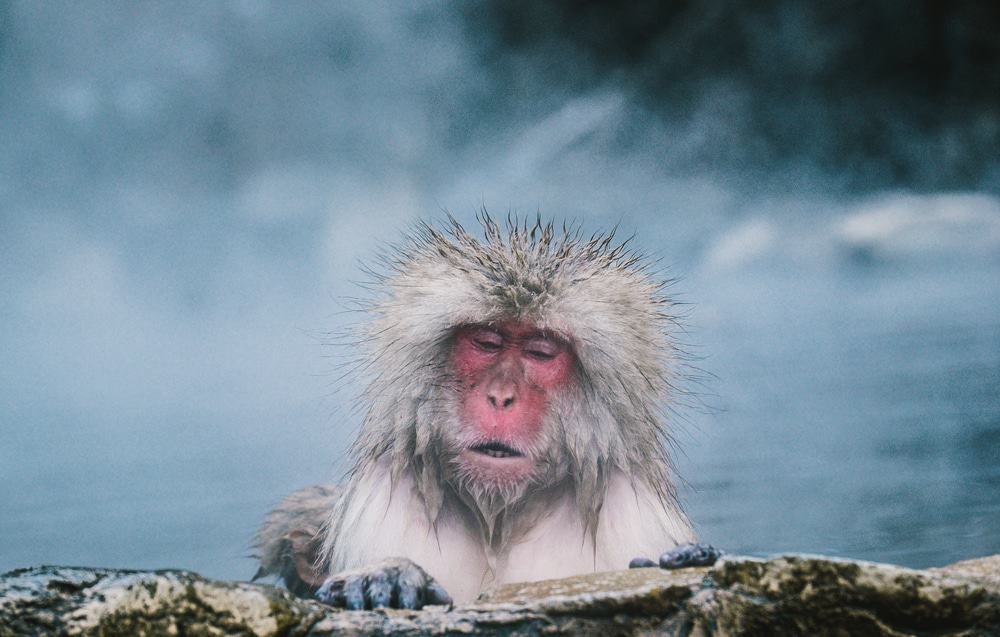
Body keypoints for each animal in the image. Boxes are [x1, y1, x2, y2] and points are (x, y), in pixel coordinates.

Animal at [253, 214, 719, 609]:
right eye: (487, 342)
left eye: (540, 351)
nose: (500, 397)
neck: (501, 519)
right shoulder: (386, 498)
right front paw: (383, 576)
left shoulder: (634, 515)